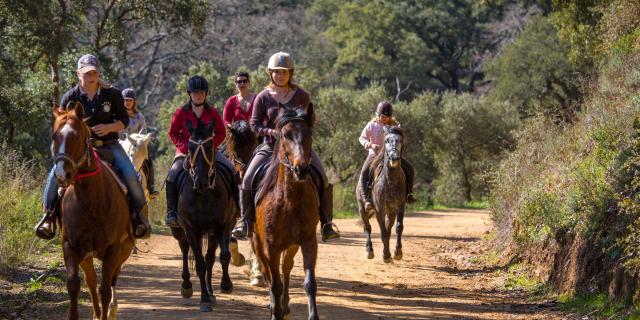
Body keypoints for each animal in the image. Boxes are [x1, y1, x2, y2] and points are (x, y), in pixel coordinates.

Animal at [51, 104, 134, 318]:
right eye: (54, 136)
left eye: (77, 136)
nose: (61, 174)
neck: (91, 203)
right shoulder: (71, 247)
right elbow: (74, 284)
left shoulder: (113, 249)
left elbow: (105, 289)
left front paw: (107, 311)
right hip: (87, 255)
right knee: (91, 280)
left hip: (124, 248)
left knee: (112, 279)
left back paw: (111, 310)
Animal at [172, 119, 238, 312]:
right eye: (190, 147)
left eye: (209, 146)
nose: (200, 181)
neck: (204, 195)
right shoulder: (191, 229)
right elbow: (200, 264)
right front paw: (203, 300)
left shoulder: (224, 226)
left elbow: (223, 257)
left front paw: (225, 285)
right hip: (179, 231)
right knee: (184, 249)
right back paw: (187, 286)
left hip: (212, 232)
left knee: (210, 258)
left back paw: (210, 292)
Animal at [251, 105, 318, 320]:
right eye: (286, 134)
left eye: (309, 134)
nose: (301, 168)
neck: (289, 201)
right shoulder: (270, 247)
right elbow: (274, 283)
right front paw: (275, 311)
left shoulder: (308, 241)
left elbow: (309, 284)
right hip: (258, 243)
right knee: (269, 276)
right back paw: (275, 306)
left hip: (291, 245)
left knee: (286, 267)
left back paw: (285, 305)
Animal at [356, 126, 404, 264]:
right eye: (386, 140)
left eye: (400, 140)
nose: (394, 158)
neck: (390, 181)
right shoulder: (379, 209)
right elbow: (383, 232)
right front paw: (386, 255)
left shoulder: (399, 206)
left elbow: (397, 227)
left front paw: (397, 252)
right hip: (362, 209)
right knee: (367, 228)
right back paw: (369, 251)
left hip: (391, 211)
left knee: (388, 227)